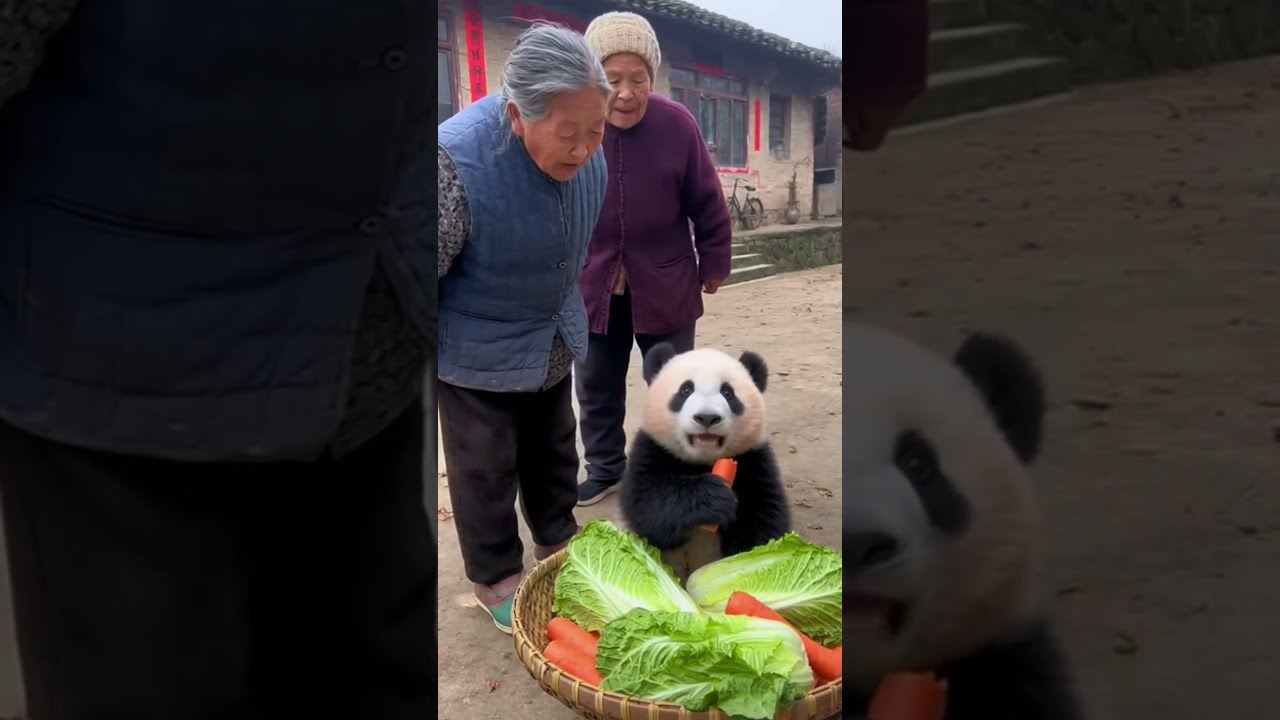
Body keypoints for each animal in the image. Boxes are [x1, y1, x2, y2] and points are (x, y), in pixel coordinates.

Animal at [619, 342, 790, 581]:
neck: (703, 461)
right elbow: (648, 506)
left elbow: (763, 516)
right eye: (685, 390)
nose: (707, 417)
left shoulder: (753, 459)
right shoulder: (652, 450)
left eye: (728, 393)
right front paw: (713, 497)